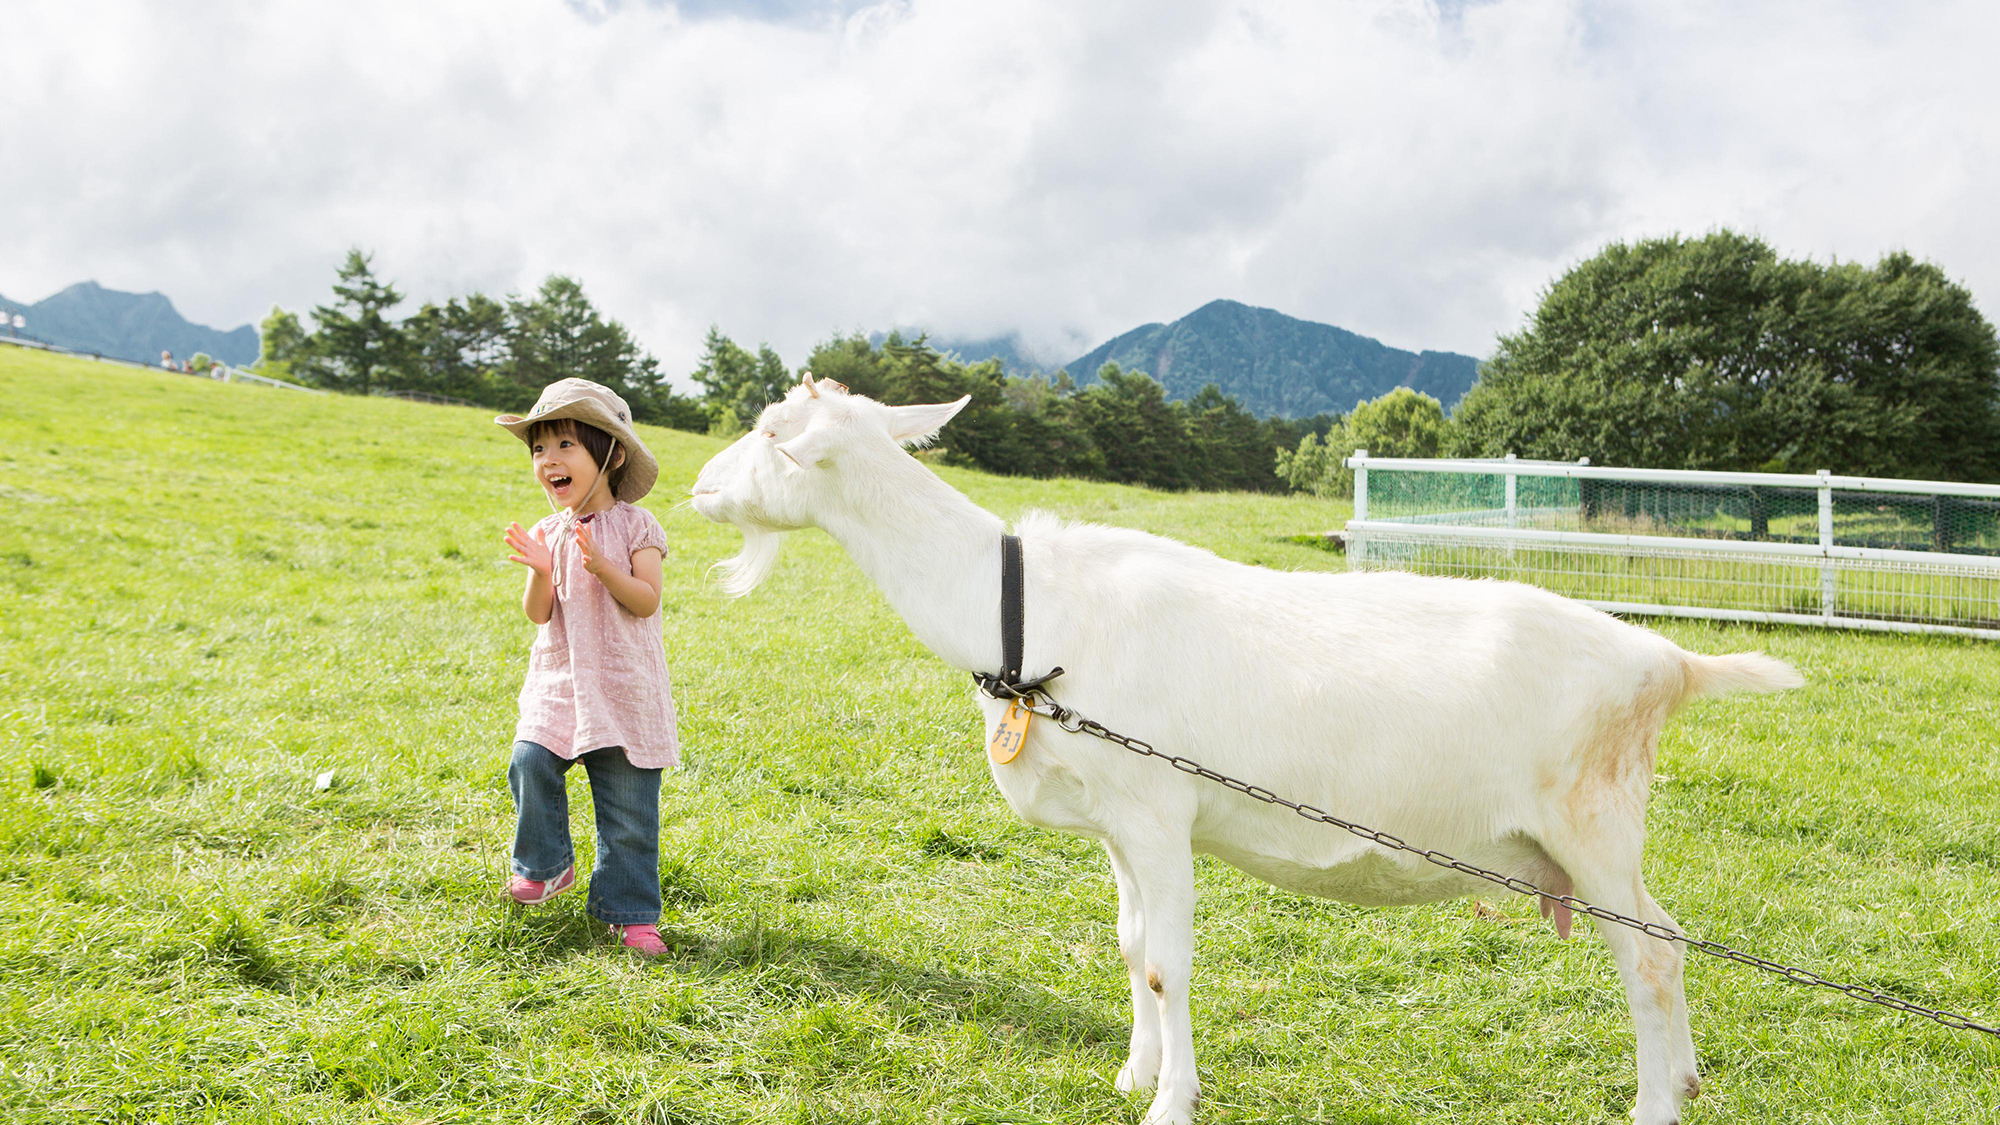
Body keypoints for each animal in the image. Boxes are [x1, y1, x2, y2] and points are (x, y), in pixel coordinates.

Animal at [692, 378, 1800, 1120]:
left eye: (768, 433)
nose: (698, 487)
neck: (1023, 608)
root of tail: (1663, 656)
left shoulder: (1156, 809)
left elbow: (1166, 964)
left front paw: (1168, 1102)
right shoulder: (1117, 822)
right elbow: (1130, 945)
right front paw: (1133, 1072)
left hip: (1592, 823)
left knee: (1648, 952)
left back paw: (1654, 1103)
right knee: (1666, 939)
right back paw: (1685, 1075)